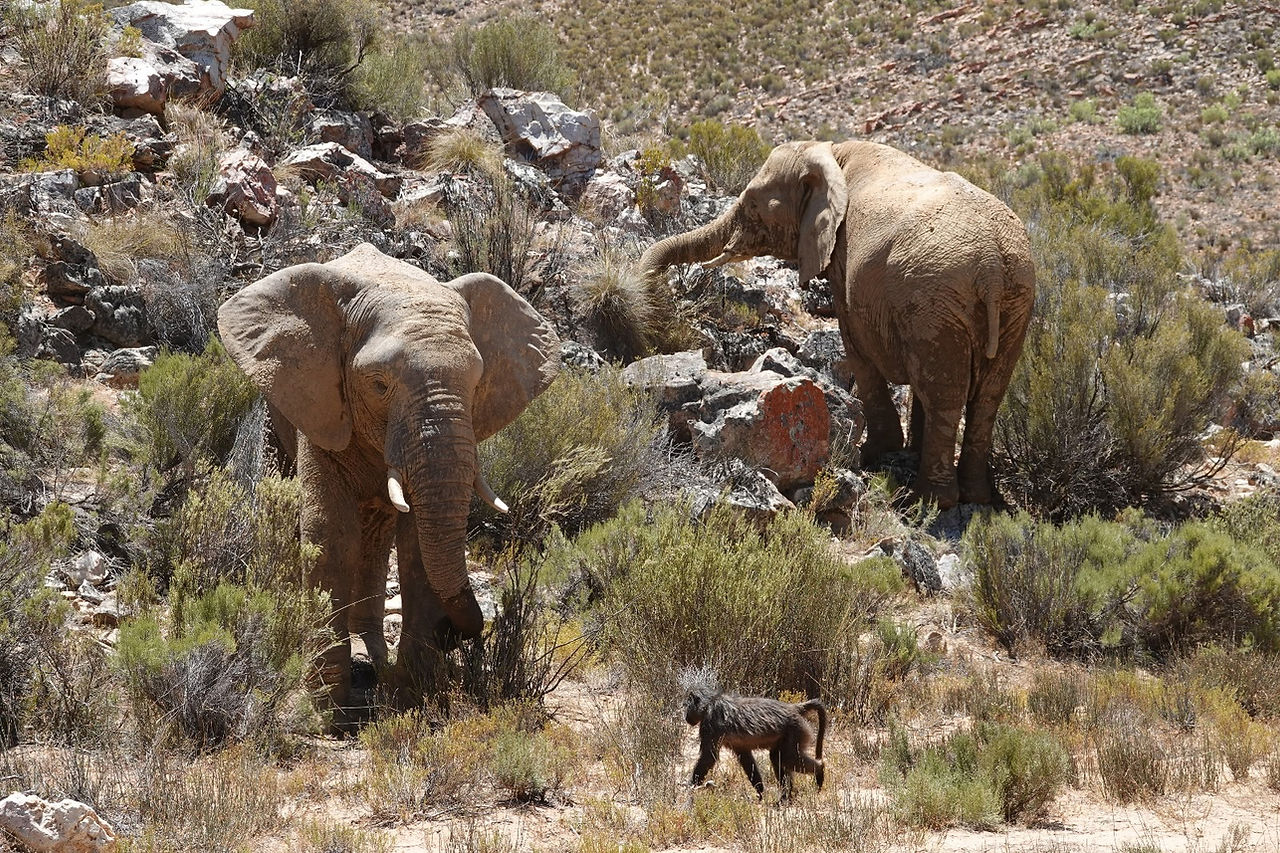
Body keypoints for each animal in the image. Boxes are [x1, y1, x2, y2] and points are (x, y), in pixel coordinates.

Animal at [216, 243, 560, 721]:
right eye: (379, 384)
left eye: (477, 384)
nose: (452, 634)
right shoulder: (322, 401)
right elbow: (329, 533)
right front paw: (328, 712)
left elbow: (416, 545)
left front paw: (412, 696)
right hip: (276, 405)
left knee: (377, 535)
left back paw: (373, 652)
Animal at [641, 140, 1035, 509]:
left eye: (753, 203)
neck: (829, 151)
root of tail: (992, 267)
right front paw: (898, 452)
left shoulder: (843, 260)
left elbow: (855, 343)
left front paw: (875, 453)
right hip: (1012, 305)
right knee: (986, 397)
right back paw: (978, 496)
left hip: (935, 303)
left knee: (944, 395)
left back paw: (930, 500)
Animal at [683, 686, 827, 800]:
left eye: (686, 705)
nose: (685, 717)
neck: (709, 703)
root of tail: (793, 707)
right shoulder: (739, 746)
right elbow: (746, 758)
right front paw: (760, 791)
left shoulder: (710, 723)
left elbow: (708, 757)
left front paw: (690, 786)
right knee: (777, 757)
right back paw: (785, 797)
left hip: (795, 731)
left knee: (786, 757)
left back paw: (819, 772)